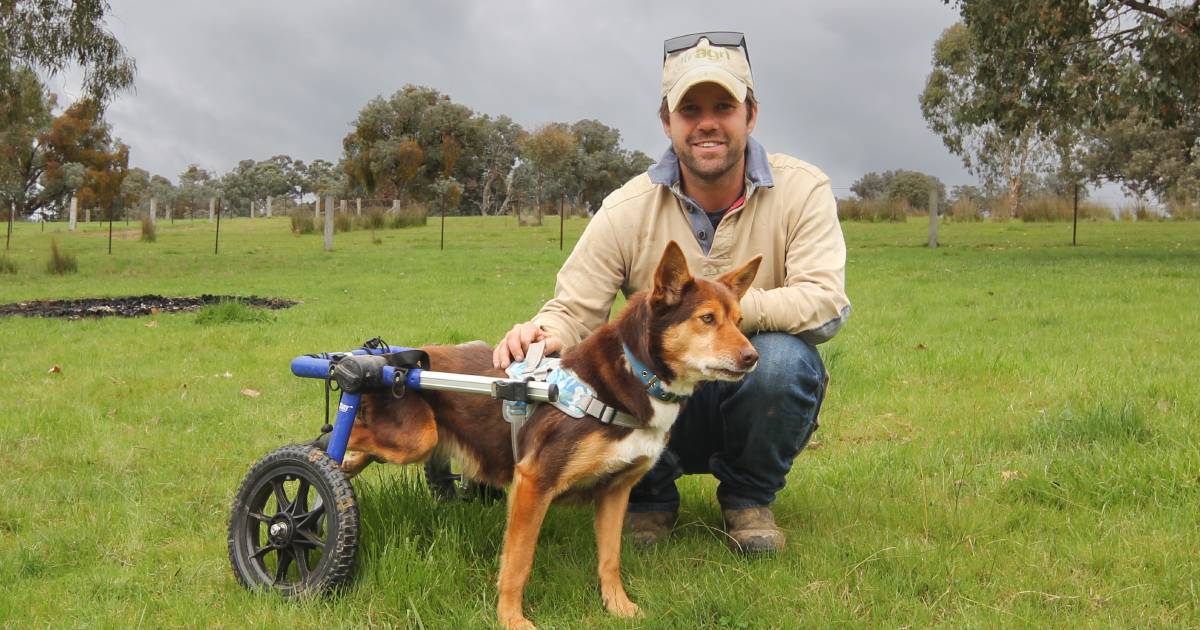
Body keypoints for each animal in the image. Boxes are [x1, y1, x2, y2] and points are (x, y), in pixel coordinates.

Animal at [343, 242, 758, 628]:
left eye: (740, 320)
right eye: (707, 318)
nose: (753, 357)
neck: (632, 376)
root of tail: (383, 360)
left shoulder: (616, 490)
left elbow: (611, 558)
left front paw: (618, 607)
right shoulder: (534, 481)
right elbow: (518, 562)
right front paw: (511, 619)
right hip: (415, 436)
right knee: (345, 433)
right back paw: (333, 454)